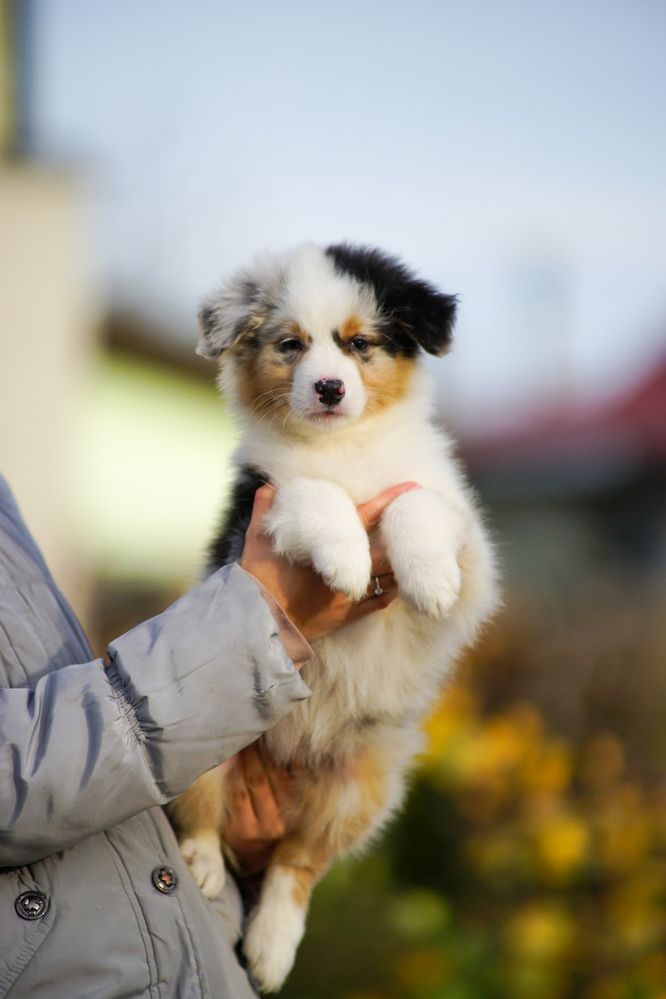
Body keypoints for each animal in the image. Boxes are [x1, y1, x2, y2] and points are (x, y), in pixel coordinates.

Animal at [169, 244, 496, 992]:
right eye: (291, 345)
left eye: (359, 344)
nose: (327, 389)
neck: (343, 448)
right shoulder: (264, 504)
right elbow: (313, 493)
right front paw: (347, 558)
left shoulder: (473, 550)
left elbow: (417, 505)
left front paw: (428, 577)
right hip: (201, 748)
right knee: (202, 820)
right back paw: (203, 869)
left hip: (364, 785)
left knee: (297, 864)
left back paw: (270, 948)